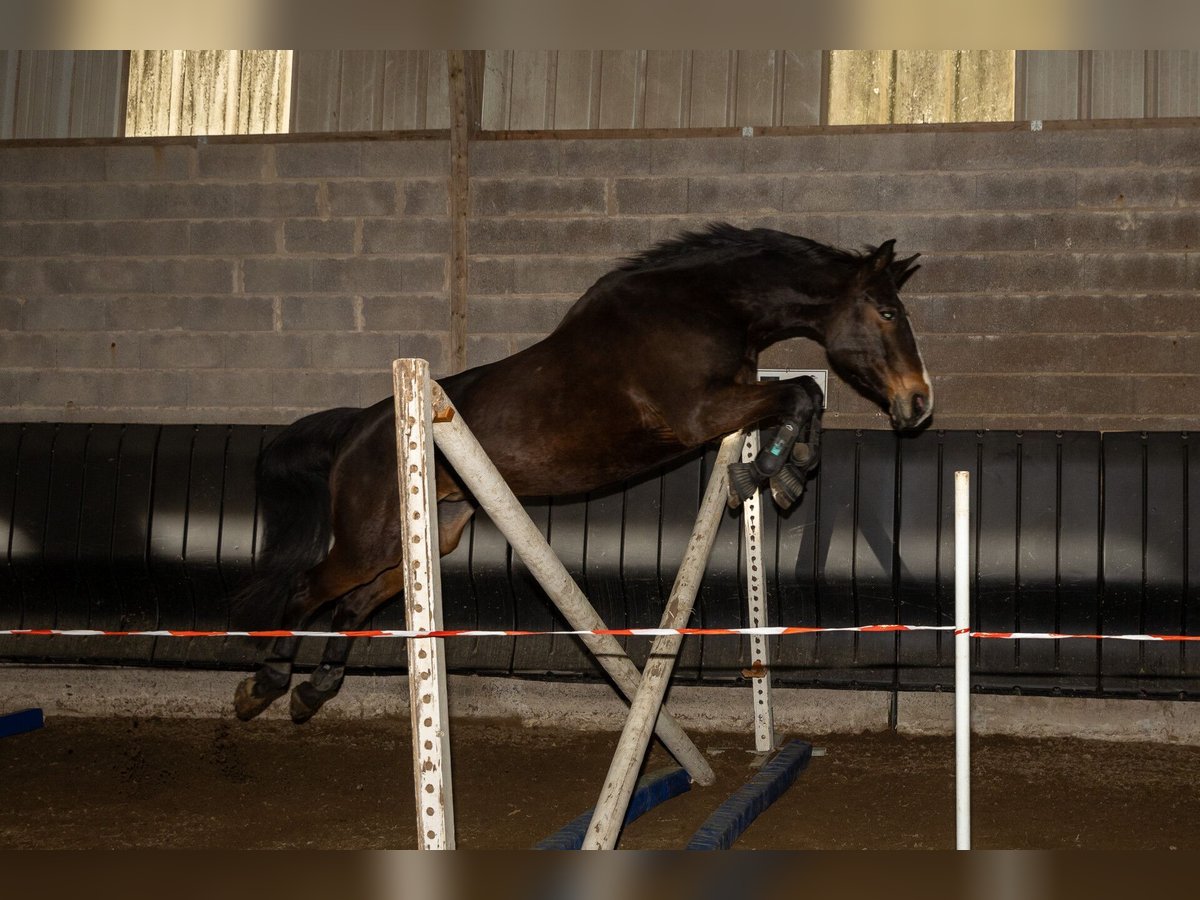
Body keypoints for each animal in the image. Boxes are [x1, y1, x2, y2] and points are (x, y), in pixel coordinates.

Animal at [231, 225, 926, 724]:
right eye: (888, 313)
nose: (919, 404)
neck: (704, 308)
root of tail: (359, 426)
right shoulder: (701, 413)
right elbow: (803, 391)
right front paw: (774, 475)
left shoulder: (729, 402)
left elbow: (804, 394)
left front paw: (779, 474)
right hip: (368, 539)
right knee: (308, 589)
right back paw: (265, 684)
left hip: (429, 534)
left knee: (352, 601)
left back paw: (314, 690)